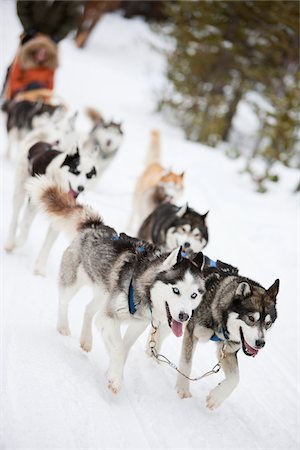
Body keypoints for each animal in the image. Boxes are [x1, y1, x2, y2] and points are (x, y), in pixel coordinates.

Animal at [27, 176, 206, 394]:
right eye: (176, 290)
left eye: (194, 295)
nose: (184, 316)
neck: (143, 288)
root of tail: (95, 225)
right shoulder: (109, 316)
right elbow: (118, 347)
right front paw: (115, 378)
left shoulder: (137, 325)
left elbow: (123, 348)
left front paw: (113, 371)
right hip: (74, 282)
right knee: (64, 301)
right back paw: (63, 327)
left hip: (102, 293)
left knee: (89, 310)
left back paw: (86, 339)